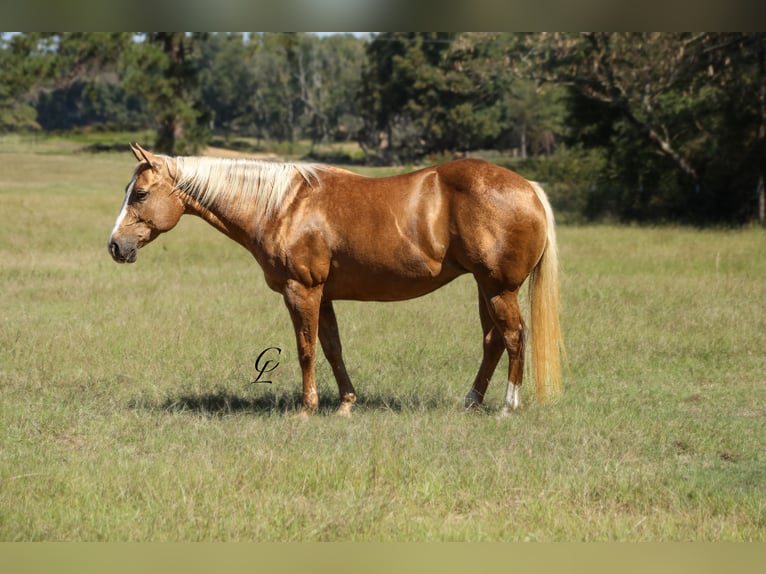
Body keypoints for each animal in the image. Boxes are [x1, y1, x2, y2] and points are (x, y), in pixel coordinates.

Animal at [108, 142, 564, 416]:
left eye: (140, 194)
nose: (115, 246)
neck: (283, 206)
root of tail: (529, 188)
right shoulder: (322, 295)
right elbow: (332, 348)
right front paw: (346, 404)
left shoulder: (301, 291)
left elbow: (306, 350)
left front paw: (306, 408)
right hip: (484, 288)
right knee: (492, 342)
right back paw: (471, 402)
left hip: (499, 288)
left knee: (513, 338)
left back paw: (507, 406)